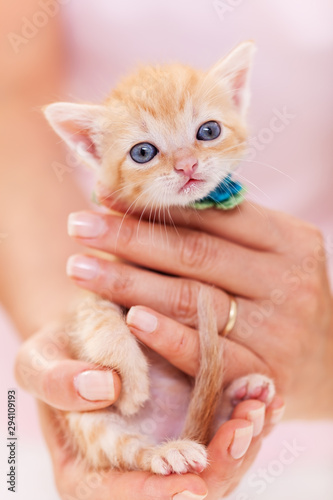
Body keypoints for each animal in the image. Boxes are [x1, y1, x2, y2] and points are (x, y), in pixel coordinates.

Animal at [42, 42, 274, 472]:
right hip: (92, 425)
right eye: (143, 152)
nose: (187, 164)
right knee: (130, 452)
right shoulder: (89, 282)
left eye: (209, 131)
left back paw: (243, 393)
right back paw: (167, 451)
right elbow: (100, 320)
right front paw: (133, 381)